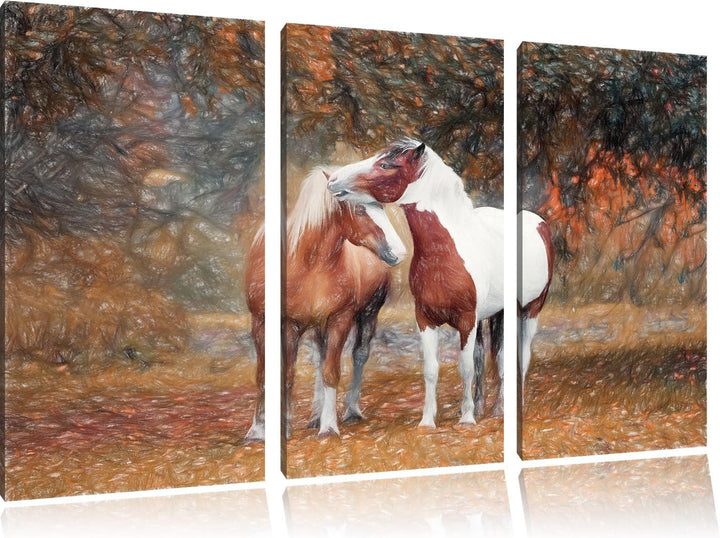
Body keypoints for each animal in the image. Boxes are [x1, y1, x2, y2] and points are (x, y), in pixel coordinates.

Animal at [244, 167, 406, 440]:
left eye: (381, 206)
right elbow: (272, 375)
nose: (399, 252)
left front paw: (329, 427)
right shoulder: (275, 324)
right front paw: (261, 429)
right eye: (360, 209)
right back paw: (314, 416)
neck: (307, 263)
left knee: (358, 355)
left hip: (368, 313)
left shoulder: (339, 320)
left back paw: (350, 411)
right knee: (319, 360)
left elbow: (331, 372)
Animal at [327, 139, 553, 425]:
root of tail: (539, 223)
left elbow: (465, 367)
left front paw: (466, 419)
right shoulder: (425, 320)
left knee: (521, 357)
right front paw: (428, 421)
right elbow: (432, 370)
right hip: (494, 314)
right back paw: (491, 409)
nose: (333, 180)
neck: (444, 252)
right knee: (491, 358)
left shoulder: (466, 320)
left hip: (530, 310)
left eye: (386, 164)